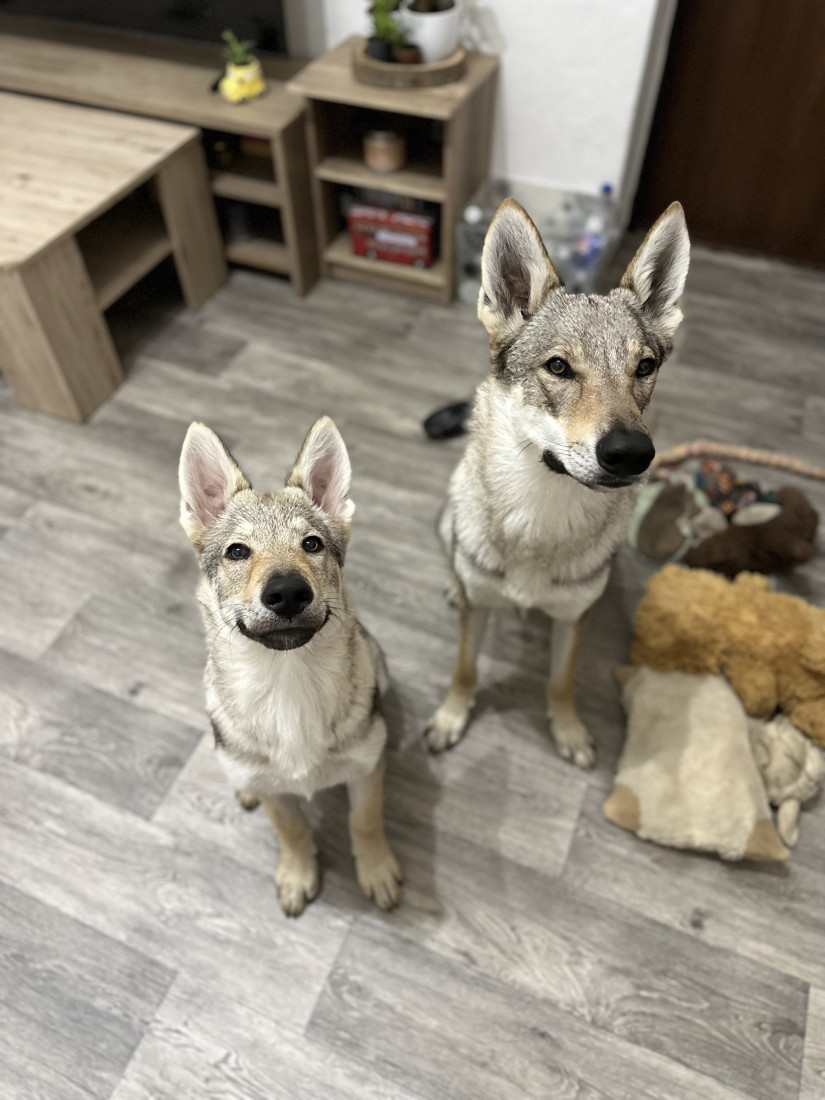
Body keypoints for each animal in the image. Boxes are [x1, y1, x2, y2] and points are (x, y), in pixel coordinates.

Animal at [179, 416, 402, 916]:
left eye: (311, 544)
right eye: (237, 552)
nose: (287, 592)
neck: (288, 681)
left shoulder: (364, 773)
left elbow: (366, 821)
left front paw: (375, 868)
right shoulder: (277, 796)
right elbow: (292, 830)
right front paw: (299, 873)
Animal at [425, 198, 690, 767]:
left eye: (645, 367)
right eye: (559, 367)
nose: (631, 453)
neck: (544, 511)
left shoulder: (573, 620)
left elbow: (560, 683)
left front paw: (567, 731)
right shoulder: (479, 613)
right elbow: (465, 669)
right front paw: (451, 716)